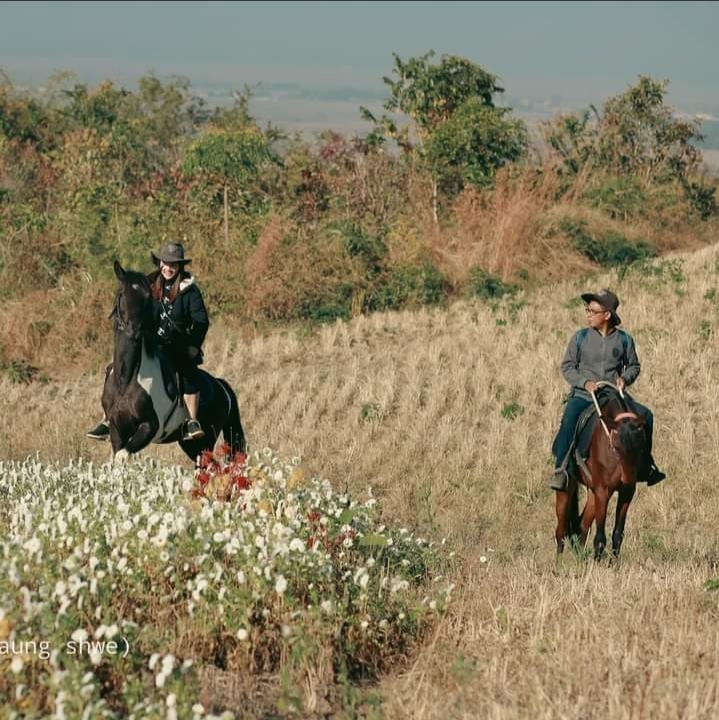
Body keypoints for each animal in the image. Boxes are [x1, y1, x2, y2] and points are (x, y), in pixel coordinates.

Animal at [100, 262, 248, 464]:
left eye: (147, 298)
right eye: (122, 294)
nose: (134, 329)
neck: (126, 379)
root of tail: (220, 385)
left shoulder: (150, 426)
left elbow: (124, 455)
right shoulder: (117, 431)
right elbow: (118, 457)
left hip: (206, 439)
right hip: (190, 445)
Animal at [556, 382, 648, 564]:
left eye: (641, 447)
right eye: (616, 448)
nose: (627, 479)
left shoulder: (626, 493)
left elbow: (618, 533)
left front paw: (613, 565)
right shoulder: (602, 491)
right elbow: (599, 537)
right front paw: (599, 564)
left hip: (593, 495)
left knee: (581, 526)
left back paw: (580, 560)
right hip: (567, 491)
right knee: (560, 531)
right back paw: (558, 565)